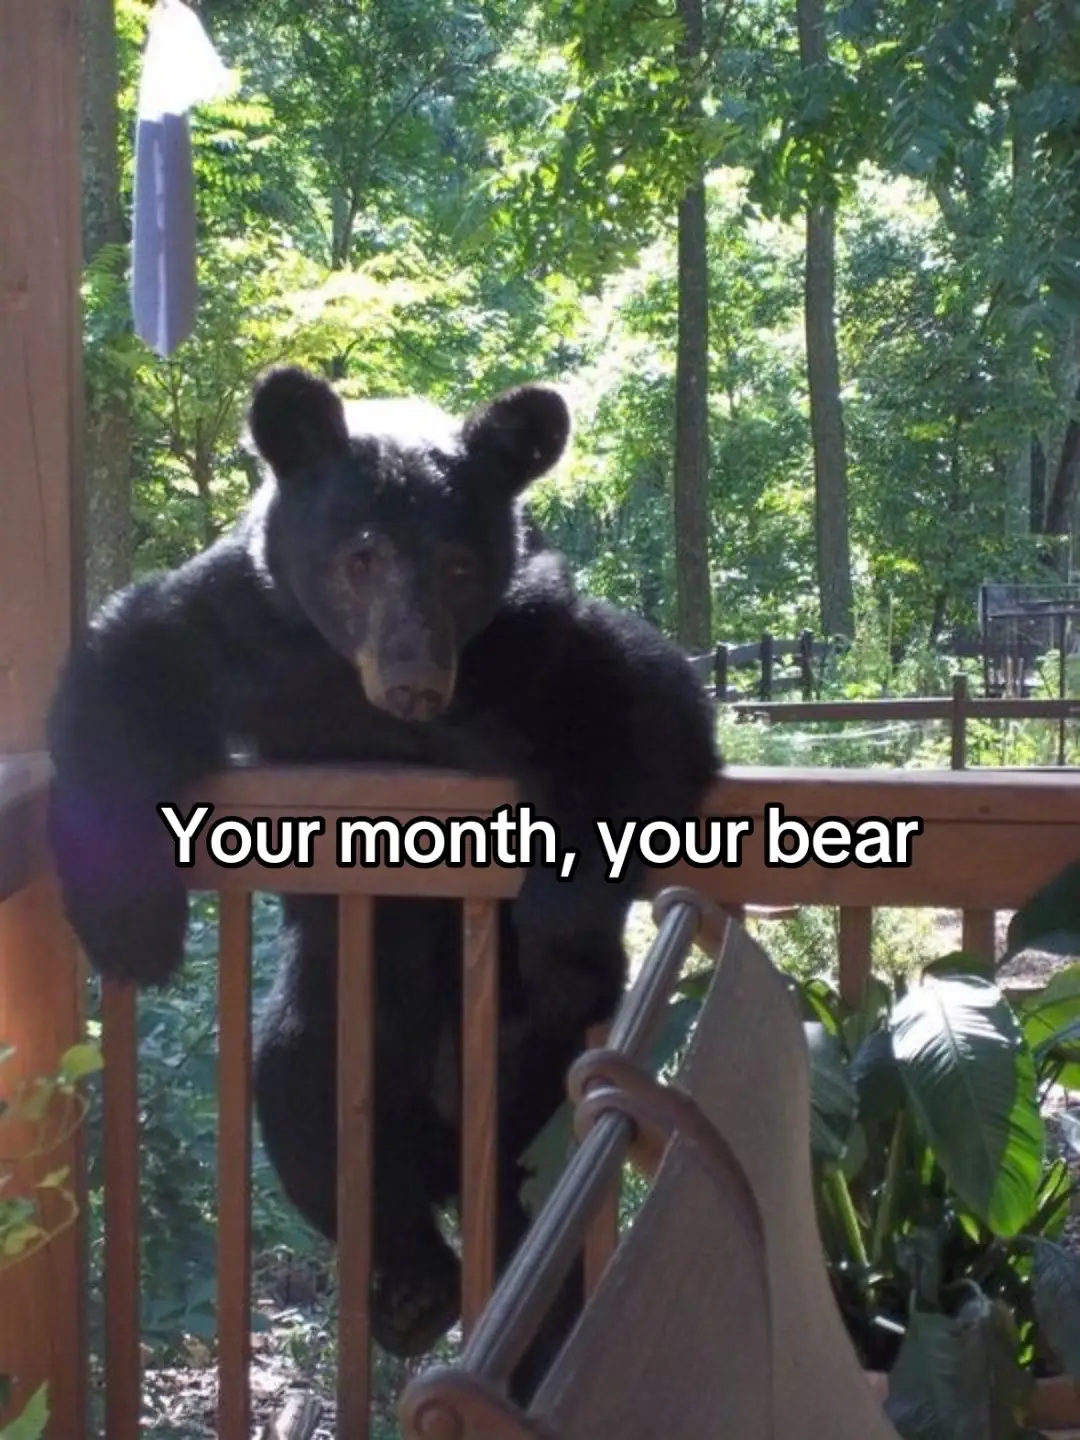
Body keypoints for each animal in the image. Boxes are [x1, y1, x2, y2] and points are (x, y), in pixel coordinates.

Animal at [46, 364, 720, 1398]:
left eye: (458, 565)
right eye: (359, 556)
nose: (414, 681)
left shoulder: (537, 633)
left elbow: (648, 704)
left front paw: (561, 923)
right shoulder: (242, 619)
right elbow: (131, 665)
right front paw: (133, 924)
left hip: (537, 1076)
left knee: (532, 1199)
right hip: (336, 1026)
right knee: (309, 1112)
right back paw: (410, 1289)